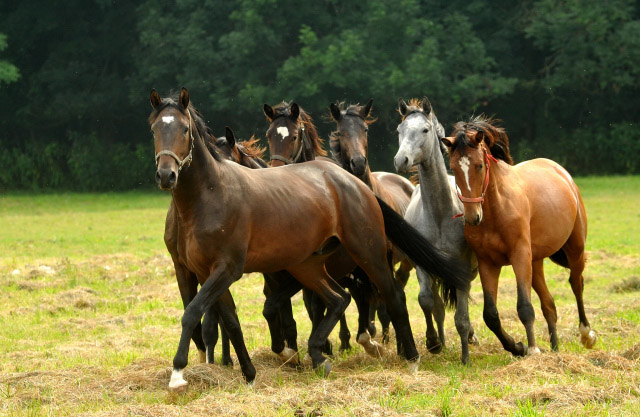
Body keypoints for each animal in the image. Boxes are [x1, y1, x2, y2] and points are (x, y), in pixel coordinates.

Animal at [328, 99, 418, 342]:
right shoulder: (360, 267)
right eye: (340, 132)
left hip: (406, 262)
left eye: (365, 129)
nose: (358, 163)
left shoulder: (383, 259)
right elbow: (368, 303)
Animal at [392, 97, 478, 364]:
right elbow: (427, 301)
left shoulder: (462, 266)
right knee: (439, 306)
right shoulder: (423, 264)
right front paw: (432, 342)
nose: (401, 160)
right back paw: (440, 339)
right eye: (399, 130)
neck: (440, 214)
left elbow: (461, 316)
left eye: (425, 130)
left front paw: (465, 356)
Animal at [442, 115, 596, 356]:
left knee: (575, 283)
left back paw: (586, 334)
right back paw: (555, 348)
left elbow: (524, 307)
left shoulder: (519, 256)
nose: (472, 217)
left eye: (479, 166)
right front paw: (517, 347)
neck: (496, 211)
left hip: (574, 248)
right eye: (453, 168)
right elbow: (491, 315)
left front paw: (532, 349)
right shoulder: (488, 263)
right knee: (549, 305)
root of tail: (561, 172)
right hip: (536, 262)